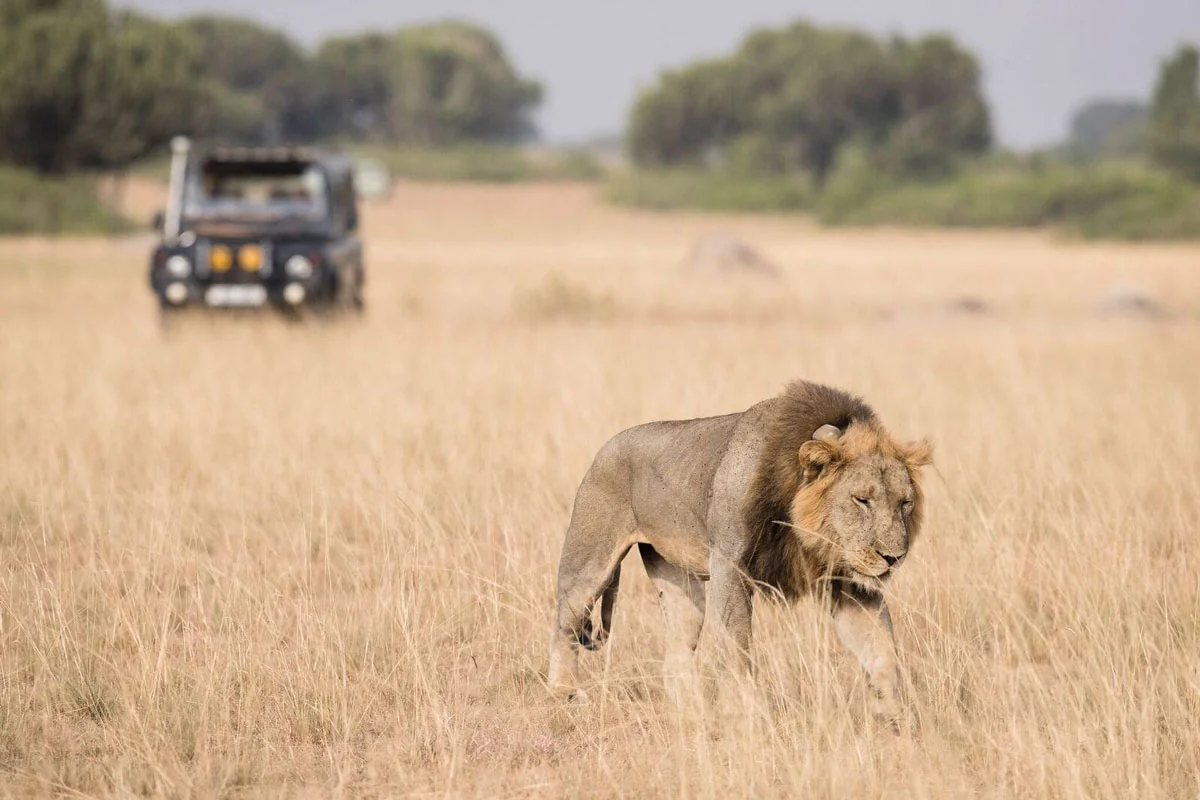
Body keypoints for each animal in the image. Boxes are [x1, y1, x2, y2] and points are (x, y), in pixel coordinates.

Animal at [547, 380, 932, 722]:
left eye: (905, 503)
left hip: (679, 582)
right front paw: (746, 713)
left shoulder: (850, 582)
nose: (894, 557)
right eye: (861, 500)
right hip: (589, 562)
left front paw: (896, 717)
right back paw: (565, 695)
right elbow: (738, 646)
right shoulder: (728, 565)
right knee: (565, 625)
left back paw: (693, 713)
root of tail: (606, 447)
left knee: (677, 650)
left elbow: (882, 649)